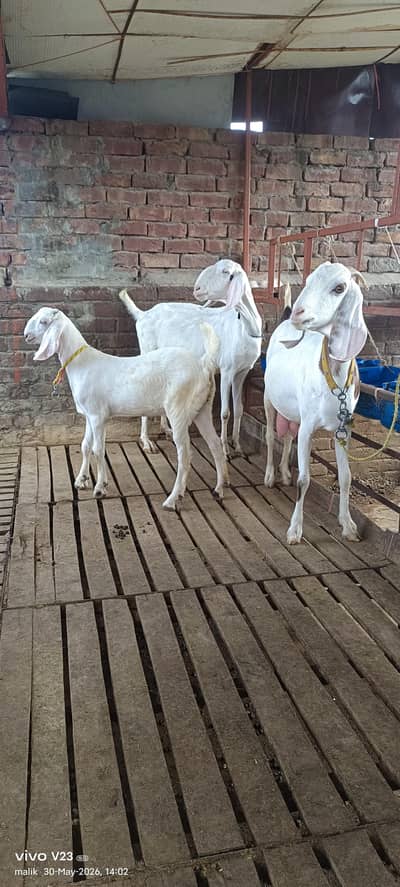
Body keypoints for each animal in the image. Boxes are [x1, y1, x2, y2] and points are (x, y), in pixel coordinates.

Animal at [23, 307, 227, 509]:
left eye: (43, 322)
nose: (26, 335)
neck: (82, 363)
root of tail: (203, 364)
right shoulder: (90, 415)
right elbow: (85, 446)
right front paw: (82, 480)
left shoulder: (98, 416)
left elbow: (98, 449)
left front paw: (100, 487)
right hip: (202, 408)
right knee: (215, 444)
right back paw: (219, 488)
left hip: (178, 408)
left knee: (185, 455)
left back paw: (172, 499)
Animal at [119, 258, 262, 458]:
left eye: (225, 271)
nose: (197, 289)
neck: (245, 327)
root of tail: (144, 314)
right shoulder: (227, 370)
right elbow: (225, 412)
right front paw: (225, 449)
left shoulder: (242, 372)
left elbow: (239, 409)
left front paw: (238, 446)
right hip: (147, 349)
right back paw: (146, 442)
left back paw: (166, 429)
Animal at [264, 262, 368, 544]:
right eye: (308, 280)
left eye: (339, 287)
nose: (298, 313)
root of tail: (283, 317)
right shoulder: (309, 426)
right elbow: (305, 479)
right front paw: (294, 530)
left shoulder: (344, 429)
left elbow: (346, 477)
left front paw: (349, 525)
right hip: (268, 398)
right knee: (270, 436)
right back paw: (270, 475)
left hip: (293, 411)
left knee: (288, 435)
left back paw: (284, 473)